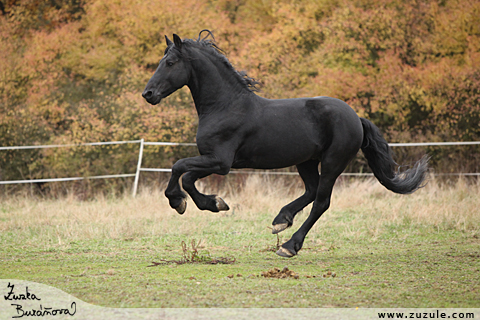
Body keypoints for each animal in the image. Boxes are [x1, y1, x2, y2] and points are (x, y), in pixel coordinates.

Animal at [142, 30, 428, 258]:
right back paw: (281, 220)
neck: (225, 106)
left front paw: (183, 202)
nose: (148, 94)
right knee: (311, 191)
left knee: (321, 201)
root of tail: (356, 117)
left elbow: (180, 169)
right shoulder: (214, 161)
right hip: (306, 161)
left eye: (170, 62)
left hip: (333, 161)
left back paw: (289, 246)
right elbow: (187, 176)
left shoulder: (220, 162)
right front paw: (213, 203)